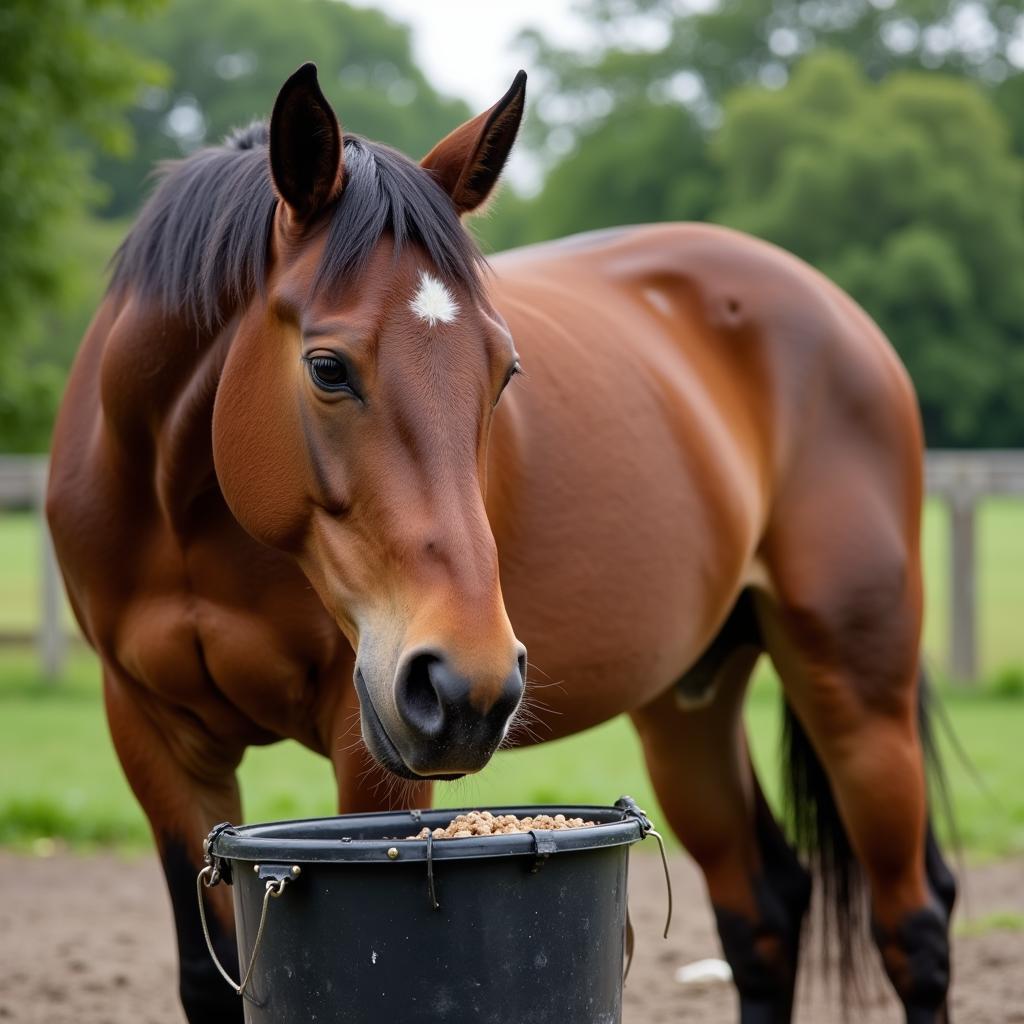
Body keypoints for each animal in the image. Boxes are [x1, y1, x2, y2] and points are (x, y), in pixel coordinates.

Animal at [49, 64, 958, 1024]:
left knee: (913, 926)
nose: (471, 686)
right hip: (687, 706)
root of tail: (839, 315)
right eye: (327, 368)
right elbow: (207, 978)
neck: (182, 512)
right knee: (766, 910)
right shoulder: (155, 742)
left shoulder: (372, 748)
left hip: (856, 691)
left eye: (505, 372)